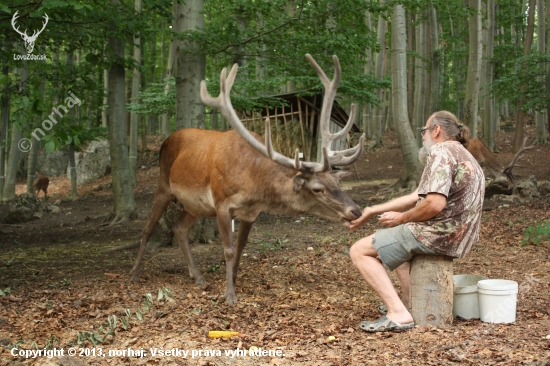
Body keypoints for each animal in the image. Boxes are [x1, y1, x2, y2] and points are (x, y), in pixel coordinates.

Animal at [130, 53, 366, 304]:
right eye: (317, 189)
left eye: (338, 182)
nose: (356, 211)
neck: (253, 186)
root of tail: (166, 139)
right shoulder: (222, 203)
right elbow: (228, 249)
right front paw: (229, 295)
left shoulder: (251, 213)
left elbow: (241, 247)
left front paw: (233, 281)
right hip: (164, 184)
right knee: (147, 227)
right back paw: (134, 274)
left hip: (196, 206)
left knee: (179, 228)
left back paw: (198, 276)